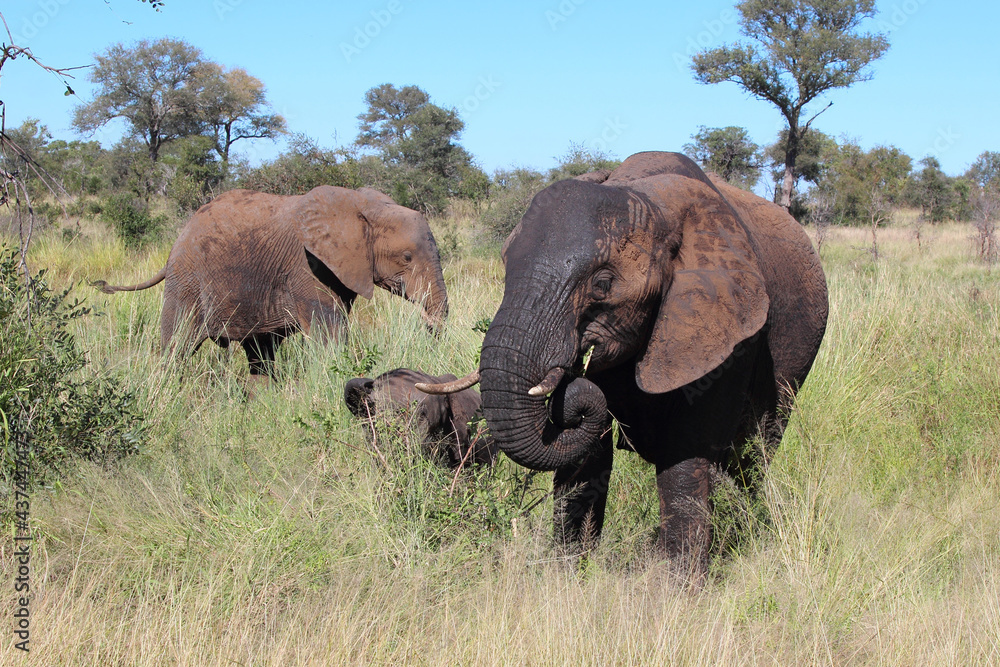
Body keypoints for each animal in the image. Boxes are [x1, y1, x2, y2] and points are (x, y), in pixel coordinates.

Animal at [94, 185, 450, 378]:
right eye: (406, 257)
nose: (428, 326)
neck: (363, 206)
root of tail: (175, 243)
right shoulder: (308, 266)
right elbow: (330, 338)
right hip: (187, 281)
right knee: (176, 347)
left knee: (260, 356)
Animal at [416, 153, 828, 568]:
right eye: (505, 271)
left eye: (602, 285)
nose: (568, 381)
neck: (650, 200)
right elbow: (588, 456)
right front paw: (568, 571)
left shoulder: (728, 331)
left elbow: (687, 451)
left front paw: (676, 582)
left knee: (756, 453)